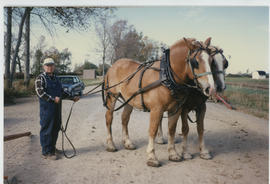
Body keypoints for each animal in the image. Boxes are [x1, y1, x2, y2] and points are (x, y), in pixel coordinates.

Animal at [103, 37, 215, 167]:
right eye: (195, 62)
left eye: (211, 60)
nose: (211, 89)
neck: (167, 76)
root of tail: (114, 65)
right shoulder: (156, 109)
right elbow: (153, 130)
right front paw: (152, 157)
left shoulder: (175, 109)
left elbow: (171, 130)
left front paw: (173, 153)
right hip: (112, 96)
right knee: (109, 118)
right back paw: (110, 144)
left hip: (129, 100)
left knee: (125, 119)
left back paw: (128, 143)